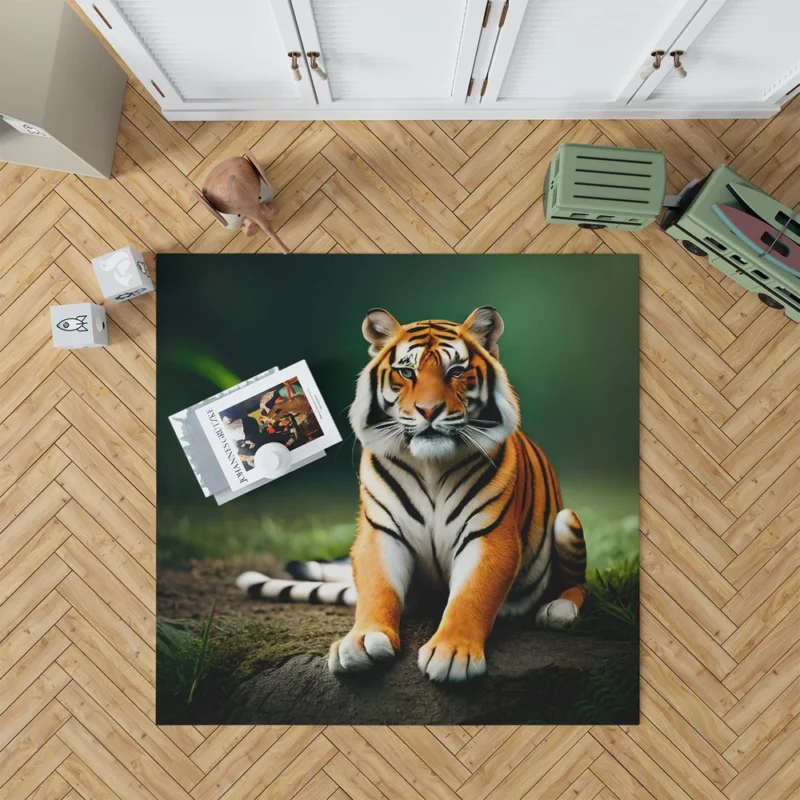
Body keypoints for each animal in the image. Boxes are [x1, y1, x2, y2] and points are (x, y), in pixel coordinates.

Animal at [234, 306, 584, 680]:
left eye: (456, 372)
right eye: (406, 372)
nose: (429, 411)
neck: (431, 467)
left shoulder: (488, 536)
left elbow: (471, 596)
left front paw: (453, 652)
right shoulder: (381, 532)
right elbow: (377, 588)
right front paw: (362, 642)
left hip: (566, 521)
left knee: (575, 582)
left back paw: (559, 609)